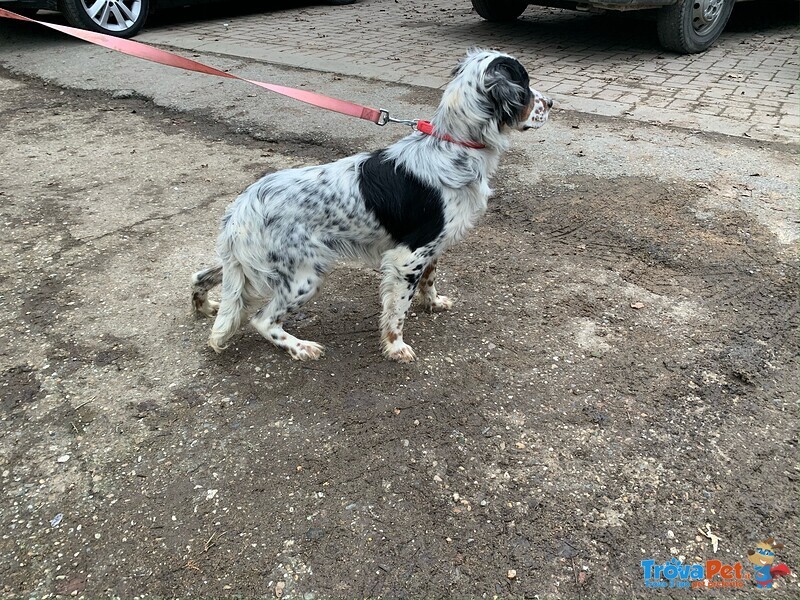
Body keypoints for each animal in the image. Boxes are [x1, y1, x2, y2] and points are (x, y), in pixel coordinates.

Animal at [193, 48, 552, 360]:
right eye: (525, 86)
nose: (550, 102)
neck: (453, 146)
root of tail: (242, 207)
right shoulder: (408, 257)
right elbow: (397, 310)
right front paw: (395, 347)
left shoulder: (431, 247)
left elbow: (430, 280)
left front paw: (434, 303)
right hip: (304, 275)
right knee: (262, 320)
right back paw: (301, 347)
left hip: (248, 263)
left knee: (201, 276)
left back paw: (204, 307)